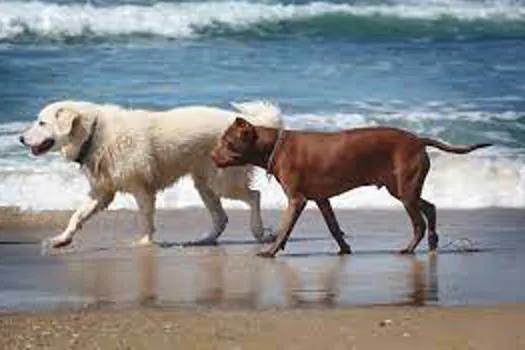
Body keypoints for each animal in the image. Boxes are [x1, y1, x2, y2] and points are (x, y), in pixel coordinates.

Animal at [19, 100, 282, 247]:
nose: (20, 138)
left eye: (41, 123)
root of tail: (251, 127)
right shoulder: (101, 192)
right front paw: (62, 239)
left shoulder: (141, 189)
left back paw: (259, 232)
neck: (94, 134)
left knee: (255, 196)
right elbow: (76, 216)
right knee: (221, 217)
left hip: (222, 181)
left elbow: (145, 219)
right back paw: (205, 240)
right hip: (204, 183)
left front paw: (144, 243)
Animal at [211, 117, 490, 258]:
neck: (274, 146)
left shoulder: (297, 199)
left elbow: (284, 229)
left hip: (406, 192)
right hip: (402, 189)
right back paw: (432, 243)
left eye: (227, 141)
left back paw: (410, 248)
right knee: (430, 208)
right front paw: (344, 249)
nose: (212, 156)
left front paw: (270, 251)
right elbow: (334, 227)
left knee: (419, 222)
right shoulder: (321, 199)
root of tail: (418, 140)